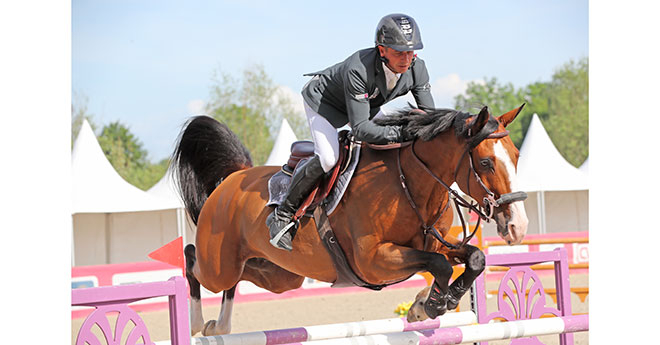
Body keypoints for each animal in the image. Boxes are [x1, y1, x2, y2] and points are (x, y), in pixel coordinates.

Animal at [171, 104, 532, 334]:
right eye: (485, 163)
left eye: (516, 156)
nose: (518, 227)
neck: (409, 182)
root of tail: (234, 177)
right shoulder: (373, 260)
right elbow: (440, 265)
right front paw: (429, 306)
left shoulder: (436, 244)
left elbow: (474, 258)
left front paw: (432, 302)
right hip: (219, 264)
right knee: (194, 263)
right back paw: (197, 323)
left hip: (282, 275)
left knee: (242, 278)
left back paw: (220, 325)